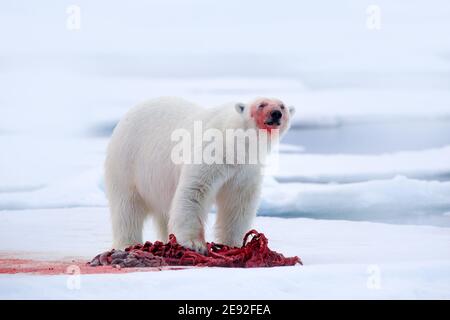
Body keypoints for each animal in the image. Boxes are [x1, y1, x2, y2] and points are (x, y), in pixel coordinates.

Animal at [105, 96, 296, 251]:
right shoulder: (212, 151)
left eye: (282, 106)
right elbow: (195, 190)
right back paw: (128, 243)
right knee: (127, 207)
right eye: (261, 104)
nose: (276, 113)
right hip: (127, 161)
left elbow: (238, 201)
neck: (235, 142)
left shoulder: (246, 169)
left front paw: (233, 243)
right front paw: (194, 244)